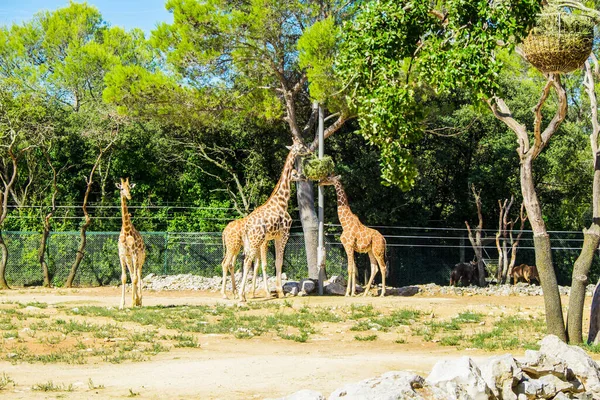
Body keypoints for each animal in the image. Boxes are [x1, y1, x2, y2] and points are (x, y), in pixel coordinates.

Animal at [237, 142, 312, 302]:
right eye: (302, 146)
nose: (309, 151)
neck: (282, 202)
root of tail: (246, 226)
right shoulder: (283, 235)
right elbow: (279, 262)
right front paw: (280, 292)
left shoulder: (272, 238)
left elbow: (271, 263)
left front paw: (274, 291)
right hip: (255, 241)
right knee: (247, 262)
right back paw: (241, 296)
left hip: (250, 242)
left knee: (247, 262)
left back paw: (243, 294)